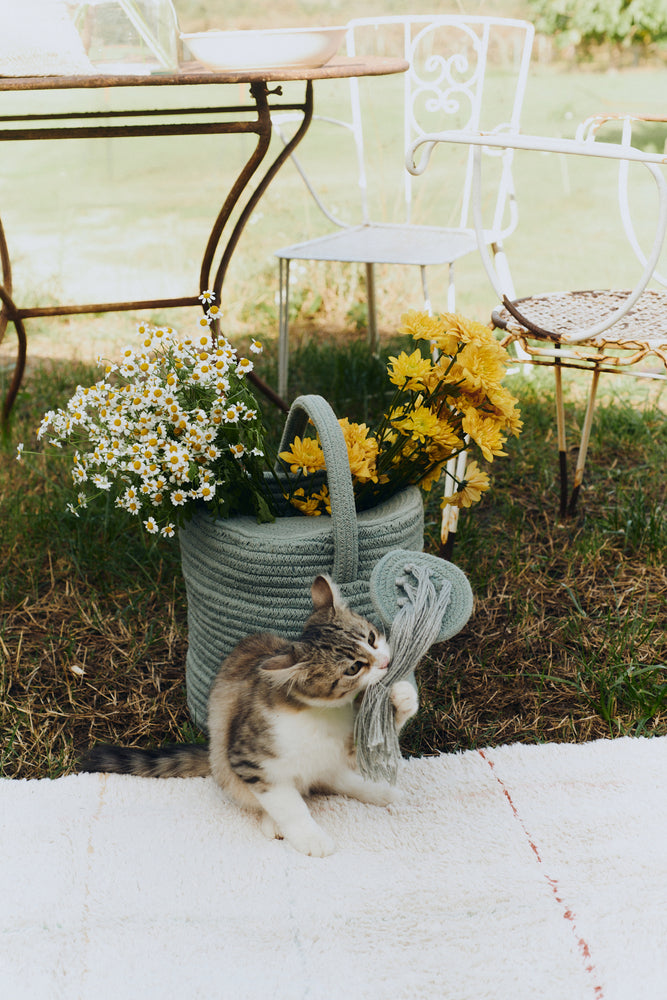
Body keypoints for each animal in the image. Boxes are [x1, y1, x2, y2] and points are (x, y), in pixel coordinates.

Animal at [82, 580, 418, 860]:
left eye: (372, 638)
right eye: (353, 668)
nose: (386, 662)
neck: (322, 714)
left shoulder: (347, 745)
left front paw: (402, 697)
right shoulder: (250, 759)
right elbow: (288, 804)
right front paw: (310, 837)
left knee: (334, 778)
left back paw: (381, 792)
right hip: (225, 763)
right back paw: (276, 821)